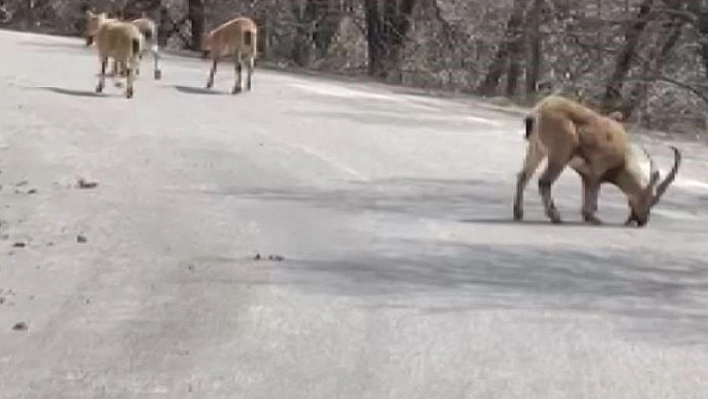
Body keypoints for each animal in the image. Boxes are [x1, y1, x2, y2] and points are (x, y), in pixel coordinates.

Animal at [512, 94, 684, 227]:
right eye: (650, 198)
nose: (642, 221)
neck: (622, 161)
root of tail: (538, 112)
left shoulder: (586, 174)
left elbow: (588, 193)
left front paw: (588, 216)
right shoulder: (596, 170)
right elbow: (593, 195)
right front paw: (593, 218)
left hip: (537, 149)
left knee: (523, 176)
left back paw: (518, 213)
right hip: (560, 154)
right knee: (544, 181)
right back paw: (555, 216)